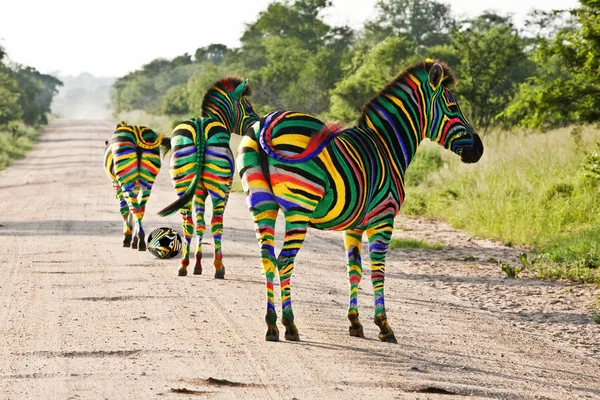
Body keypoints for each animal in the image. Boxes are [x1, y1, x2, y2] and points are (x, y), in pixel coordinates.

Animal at [157, 77, 258, 278]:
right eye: (249, 108)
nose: (259, 124)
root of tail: (200, 125)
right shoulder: (223, 189)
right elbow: (211, 224)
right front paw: (208, 265)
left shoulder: (198, 192)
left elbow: (200, 224)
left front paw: (197, 265)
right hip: (220, 188)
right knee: (217, 223)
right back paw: (219, 267)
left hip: (182, 185)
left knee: (188, 223)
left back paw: (183, 265)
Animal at [237, 57, 486, 342]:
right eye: (453, 107)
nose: (479, 149)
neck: (388, 146)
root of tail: (266, 121)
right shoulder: (383, 218)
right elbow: (378, 272)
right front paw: (384, 326)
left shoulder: (353, 225)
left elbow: (353, 270)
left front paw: (355, 323)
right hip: (300, 206)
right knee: (284, 260)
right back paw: (289, 325)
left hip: (261, 204)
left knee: (267, 258)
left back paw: (271, 325)